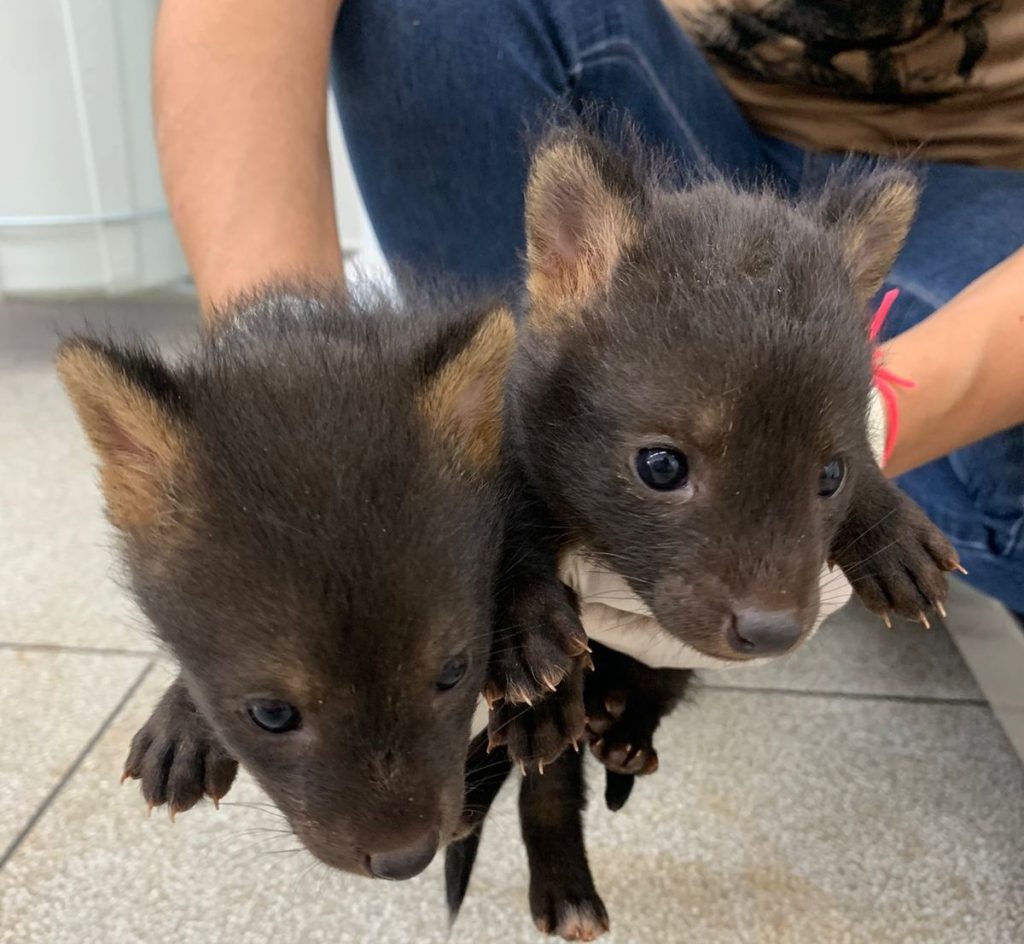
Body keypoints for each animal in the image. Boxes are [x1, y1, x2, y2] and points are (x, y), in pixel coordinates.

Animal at [452, 129, 954, 937]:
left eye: (829, 476)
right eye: (661, 465)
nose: (773, 631)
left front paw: (893, 536)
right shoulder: (504, 447)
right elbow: (512, 545)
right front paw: (525, 642)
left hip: (668, 670)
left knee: (648, 698)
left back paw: (625, 738)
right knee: (549, 783)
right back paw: (555, 871)